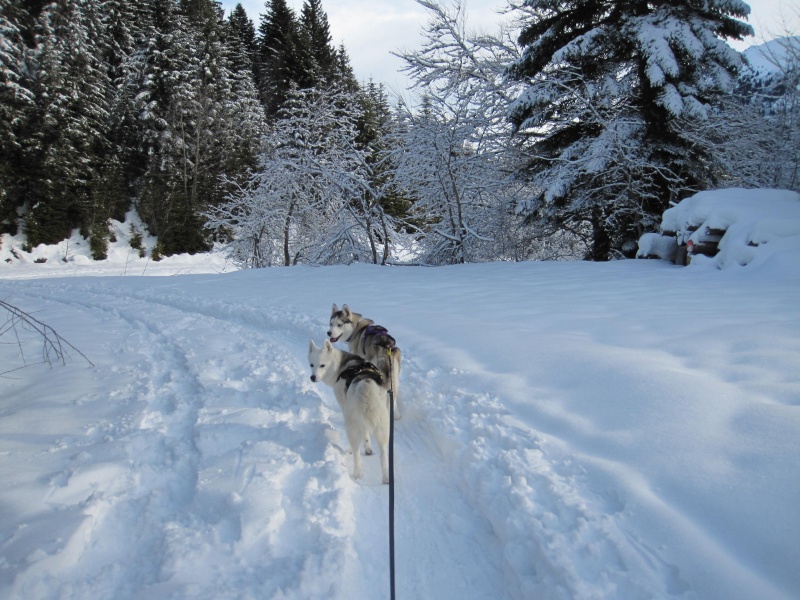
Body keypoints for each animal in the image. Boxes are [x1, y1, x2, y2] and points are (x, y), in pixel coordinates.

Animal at [310, 340, 390, 486]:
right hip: (383, 429)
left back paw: (356, 472)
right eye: (311, 365)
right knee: (383, 455)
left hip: (351, 426)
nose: (312, 377)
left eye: (322, 365)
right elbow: (367, 436)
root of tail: (365, 385)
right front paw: (368, 448)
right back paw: (386, 478)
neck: (340, 365)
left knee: (356, 453)